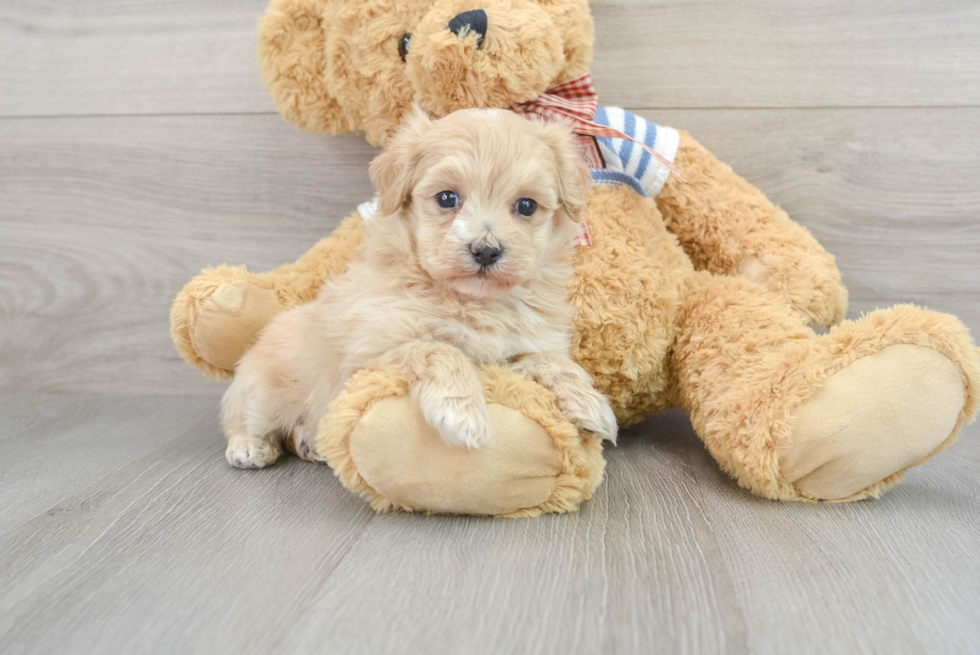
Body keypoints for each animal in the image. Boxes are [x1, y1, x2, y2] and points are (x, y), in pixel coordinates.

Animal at [226, 107, 616, 468]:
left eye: (526, 205)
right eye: (446, 198)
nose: (486, 250)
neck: (475, 300)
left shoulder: (521, 347)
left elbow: (551, 360)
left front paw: (588, 403)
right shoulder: (375, 348)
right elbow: (439, 351)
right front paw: (463, 417)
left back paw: (311, 443)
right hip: (262, 392)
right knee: (242, 417)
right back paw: (249, 446)